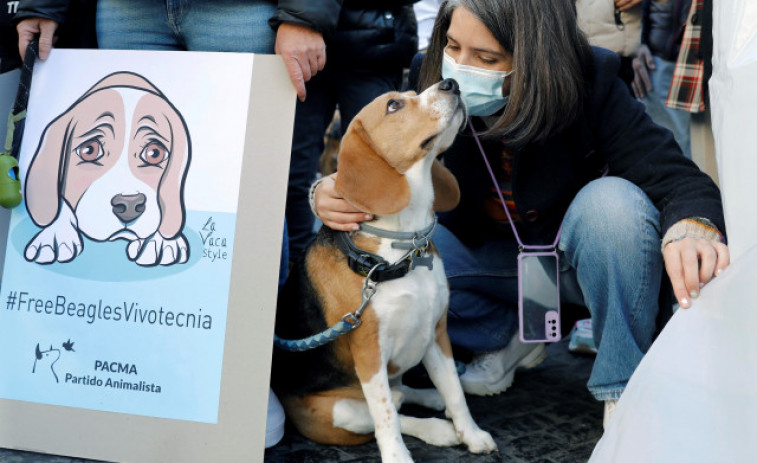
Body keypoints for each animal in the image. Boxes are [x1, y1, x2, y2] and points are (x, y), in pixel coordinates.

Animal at [272, 80, 496, 463]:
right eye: (394, 106)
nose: (451, 83)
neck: (404, 247)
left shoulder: (437, 332)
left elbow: (454, 391)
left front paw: (472, 433)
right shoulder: (369, 352)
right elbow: (386, 415)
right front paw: (398, 457)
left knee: (404, 392)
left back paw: (431, 400)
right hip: (337, 411)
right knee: (389, 410)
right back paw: (436, 428)